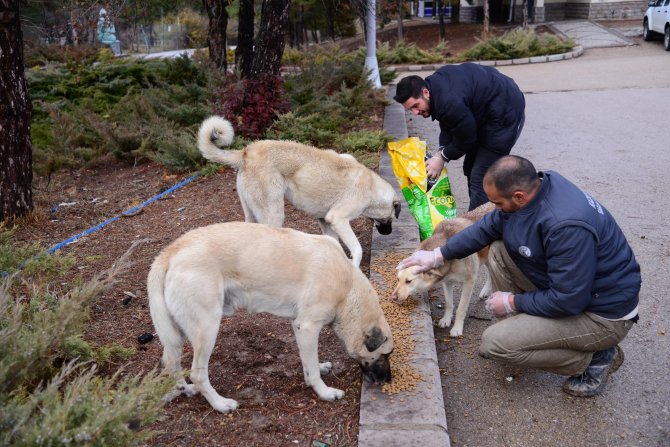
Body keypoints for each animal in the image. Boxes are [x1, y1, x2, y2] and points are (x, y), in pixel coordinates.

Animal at [148, 222, 394, 414]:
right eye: (385, 354)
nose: (388, 380)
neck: (347, 288)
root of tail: (170, 252)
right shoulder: (308, 326)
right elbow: (313, 369)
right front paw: (324, 392)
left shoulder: (300, 326)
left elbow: (309, 362)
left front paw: (315, 371)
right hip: (207, 328)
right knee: (198, 374)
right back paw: (220, 404)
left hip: (177, 333)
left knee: (171, 362)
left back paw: (185, 389)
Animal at [197, 116, 402, 270]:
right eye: (391, 218)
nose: (389, 232)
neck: (372, 187)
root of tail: (246, 152)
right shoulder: (338, 219)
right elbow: (357, 249)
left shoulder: (326, 221)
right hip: (274, 214)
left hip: (251, 213)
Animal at [392, 202, 496, 336]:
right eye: (397, 279)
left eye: (408, 281)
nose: (393, 298)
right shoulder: (447, 282)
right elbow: (449, 303)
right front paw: (446, 319)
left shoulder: (469, 281)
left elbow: (461, 308)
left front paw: (457, 327)